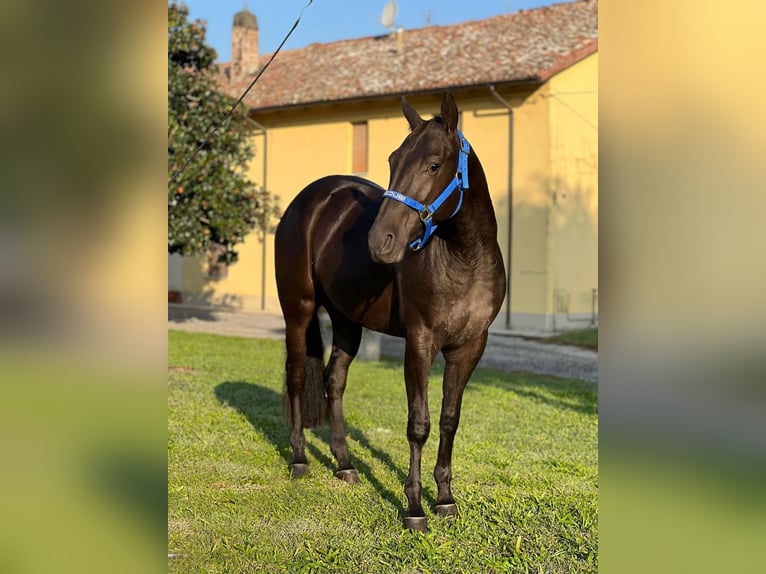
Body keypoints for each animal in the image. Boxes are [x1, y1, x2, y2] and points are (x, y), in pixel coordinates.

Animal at [274, 92, 506, 531]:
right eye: (392, 160)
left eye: (433, 164)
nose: (380, 242)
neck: (463, 260)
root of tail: (306, 201)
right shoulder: (419, 342)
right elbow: (419, 424)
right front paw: (414, 507)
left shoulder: (469, 347)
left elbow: (449, 420)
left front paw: (445, 500)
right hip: (298, 311)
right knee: (296, 378)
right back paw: (299, 459)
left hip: (347, 321)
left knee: (334, 381)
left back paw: (345, 464)